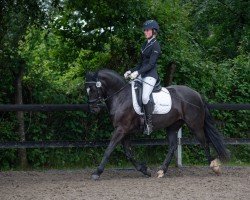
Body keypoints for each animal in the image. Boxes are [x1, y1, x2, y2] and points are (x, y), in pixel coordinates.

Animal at [85, 68, 229, 180]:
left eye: (93, 88)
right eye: (86, 90)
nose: (93, 109)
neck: (121, 96)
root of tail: (197, 94)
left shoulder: (121, 129)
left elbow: (109, 149)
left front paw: (97, 173)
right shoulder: (124, 130)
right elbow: (129, 153)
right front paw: (145, 170)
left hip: (195, 125)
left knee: (204, 142)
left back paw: (214, 167)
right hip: (173, 126)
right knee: (172, 146)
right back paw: (161, 171)